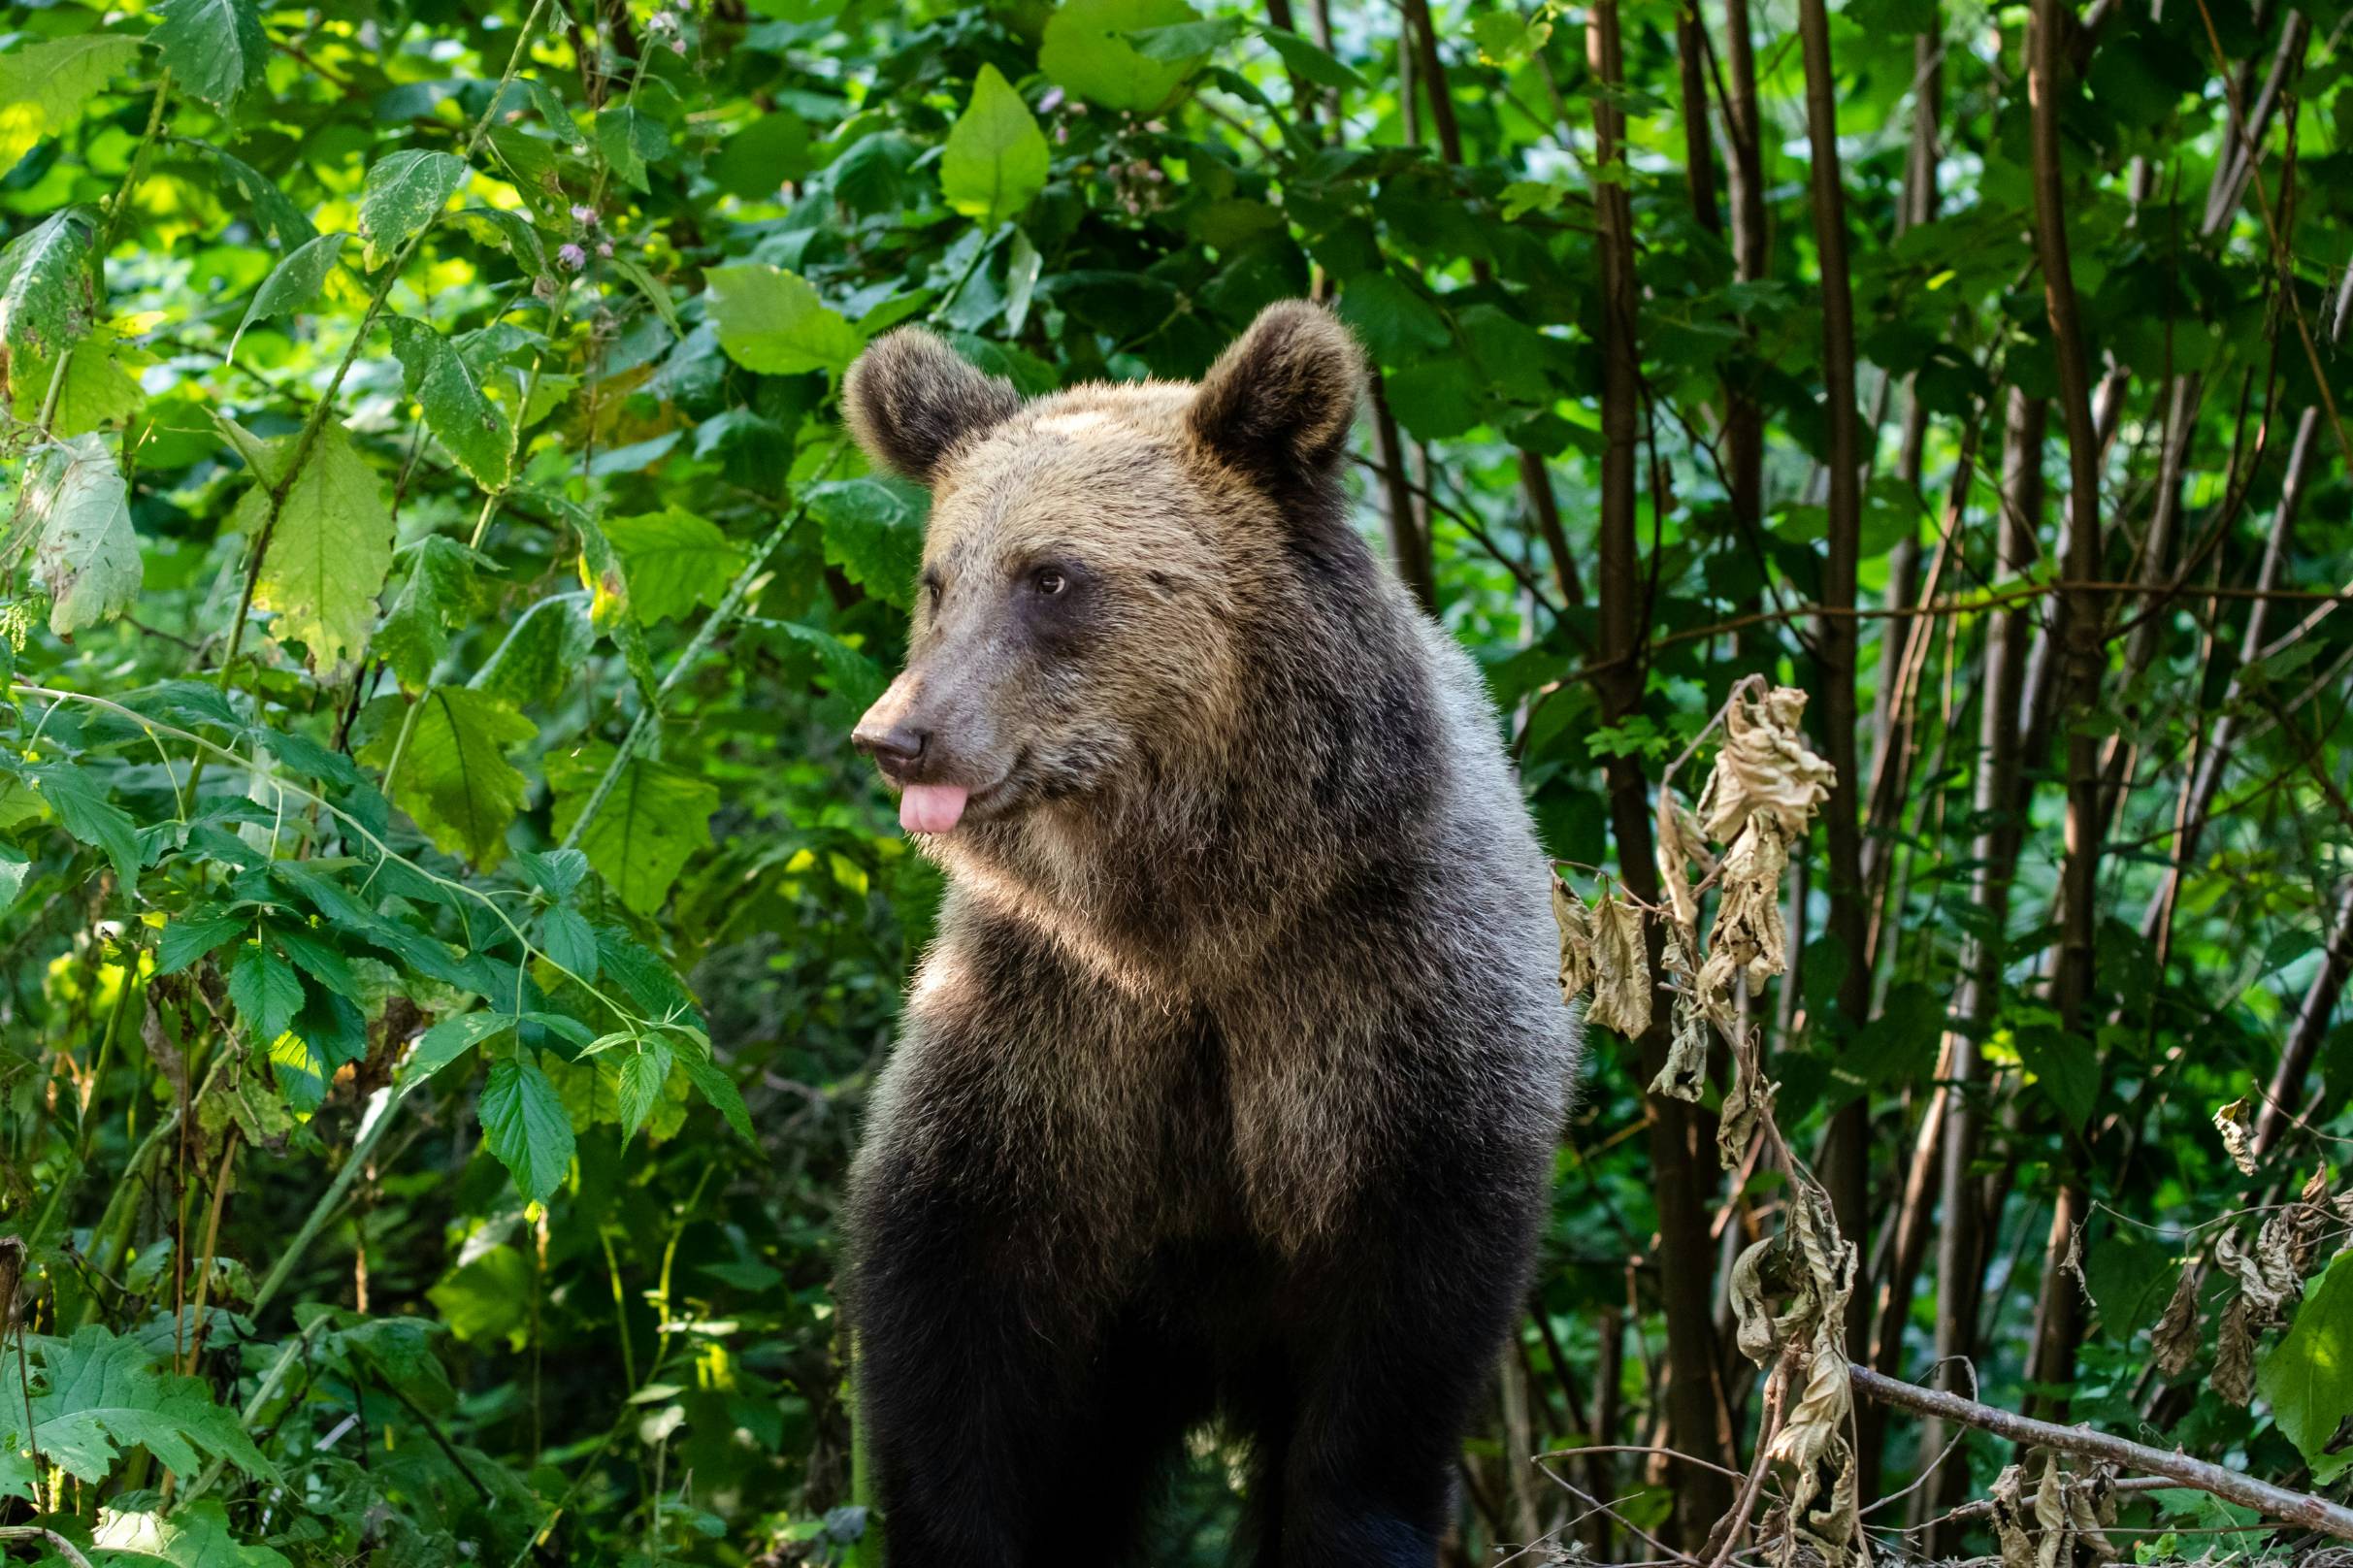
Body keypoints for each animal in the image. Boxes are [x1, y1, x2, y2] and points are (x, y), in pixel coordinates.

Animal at [839, 300, 1578, 1568]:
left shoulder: (1383, 997)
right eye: (938, 578)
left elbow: (1388, 1352)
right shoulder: (1047, 1029)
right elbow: (954, 1312)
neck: (1190, 913)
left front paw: (1351, 1525)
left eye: (1051, 575)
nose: (899, 734)